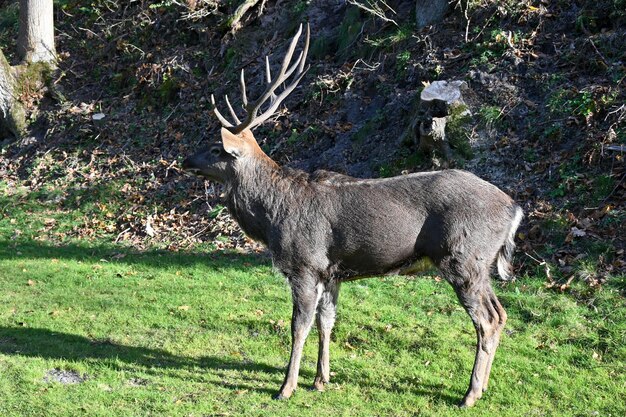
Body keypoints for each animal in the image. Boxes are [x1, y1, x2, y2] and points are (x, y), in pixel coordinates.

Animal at [182, 23, 520, 406]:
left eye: (215, 148)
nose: (186, 159)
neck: (271, 216)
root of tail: (514, 209)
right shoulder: (333, 270)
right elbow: (327, 321)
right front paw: (321, 379)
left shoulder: (305, 263)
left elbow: (299, 325)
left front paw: (287, 387)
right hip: (480, 264)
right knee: (501, 313)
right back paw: (483, 387)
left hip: (463, 257)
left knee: (487, 319)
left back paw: (469, 394)